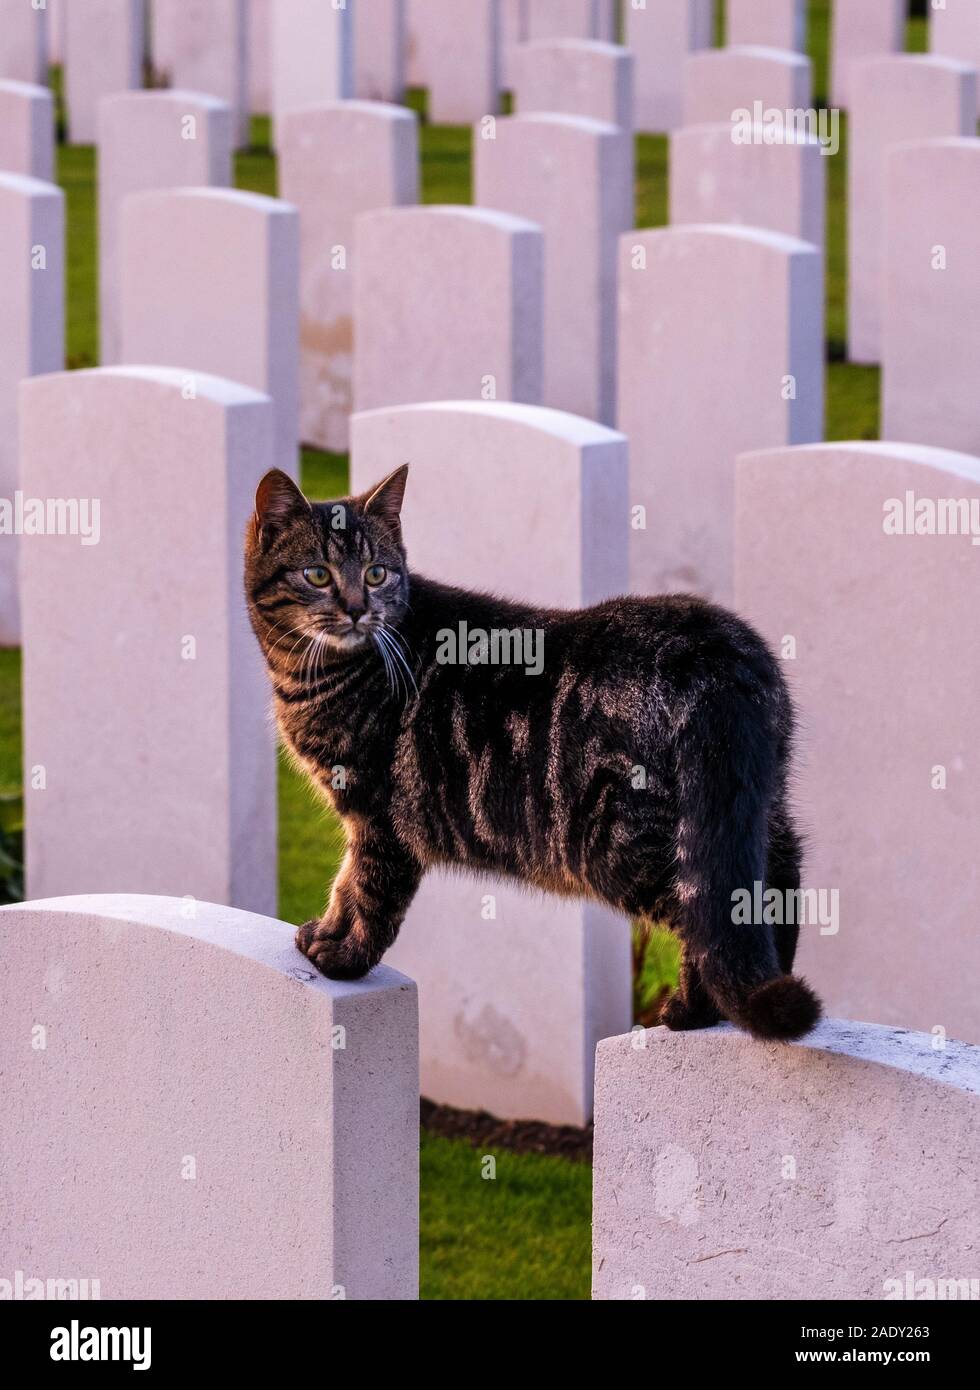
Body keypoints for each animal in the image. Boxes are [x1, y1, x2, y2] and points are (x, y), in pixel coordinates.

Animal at [243, 467, 817, 1045]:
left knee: (709, 911)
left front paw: (344, 959)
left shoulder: (380, 817)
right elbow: (344, 884)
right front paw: (323, 933)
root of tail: (719, 656)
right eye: (318, 574)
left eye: (377, 573)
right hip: (755, 803)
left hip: (628, 842)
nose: (358, 608)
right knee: (779, 875)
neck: (306, 675)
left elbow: (366, 889)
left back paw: (694, 1011)